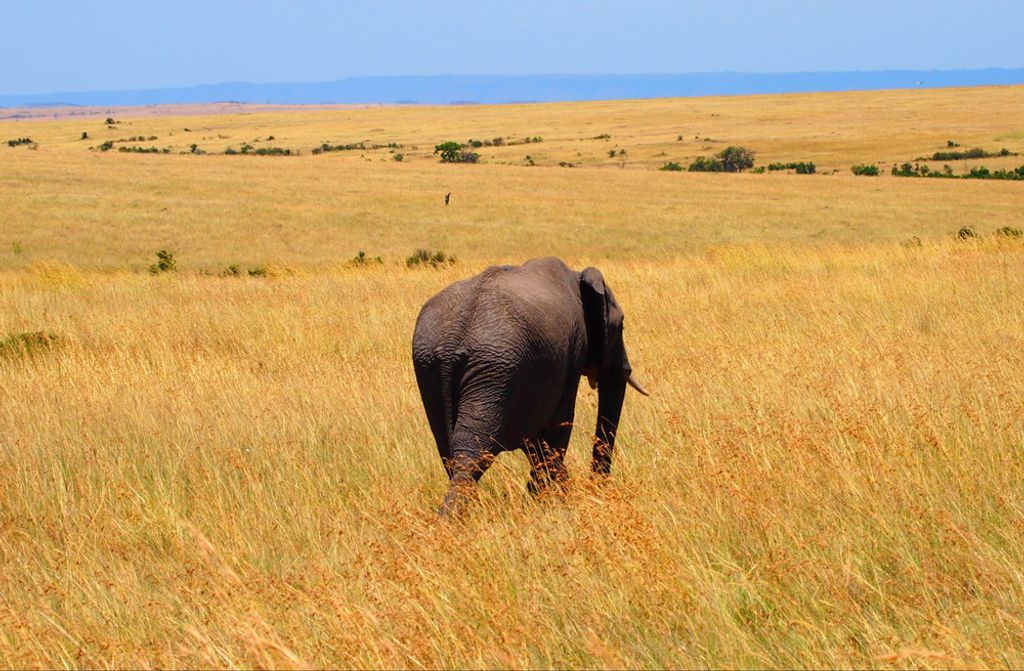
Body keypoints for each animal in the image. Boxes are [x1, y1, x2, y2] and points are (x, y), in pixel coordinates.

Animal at [412, 256, 648, 515]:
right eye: (622, 325)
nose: (597, 488)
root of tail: (453, 339)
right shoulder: (571, 353)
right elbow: (559, 425)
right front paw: (554, 497)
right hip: (494, 370)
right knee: (473, 452)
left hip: (433, 368)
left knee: (450, 451)